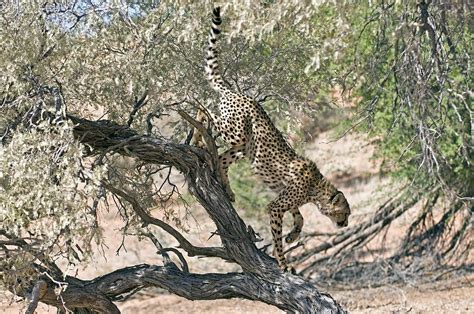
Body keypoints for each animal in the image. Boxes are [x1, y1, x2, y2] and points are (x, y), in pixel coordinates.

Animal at [200, 7, 348, 272]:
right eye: (346, 213)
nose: (346, 224)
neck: (316, 188)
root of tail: (236, 92)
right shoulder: (276, 206)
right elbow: (277, 236)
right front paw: (283, 262)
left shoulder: (286, 199)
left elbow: (300, 218)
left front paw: (293, 235)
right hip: (235, 131)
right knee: (205, 109)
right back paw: (192, 115)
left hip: (243, 146)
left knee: (221, 158)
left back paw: (228, 189)